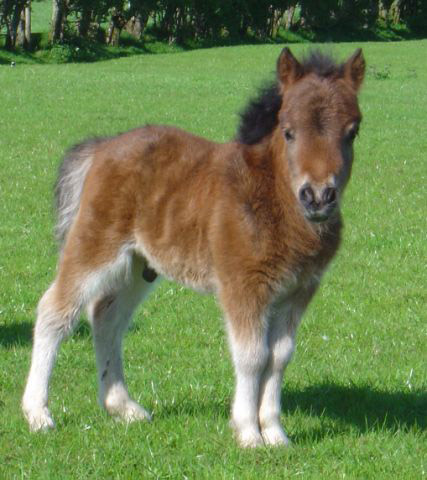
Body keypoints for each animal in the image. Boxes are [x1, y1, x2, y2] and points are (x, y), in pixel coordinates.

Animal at [21, 47, 366, 448]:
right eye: (288, 131)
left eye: (353, 132)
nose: (318, 197)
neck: (271, 198)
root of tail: (103, 146)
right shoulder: (243, 286)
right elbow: (252, 356)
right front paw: (249, 434)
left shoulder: (298, 290)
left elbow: (279, 357)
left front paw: (276, 434)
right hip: (96, 247)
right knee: (54, 312)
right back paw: (38, 414)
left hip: (138, 266)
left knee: (107, 318)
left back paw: (124, 407)